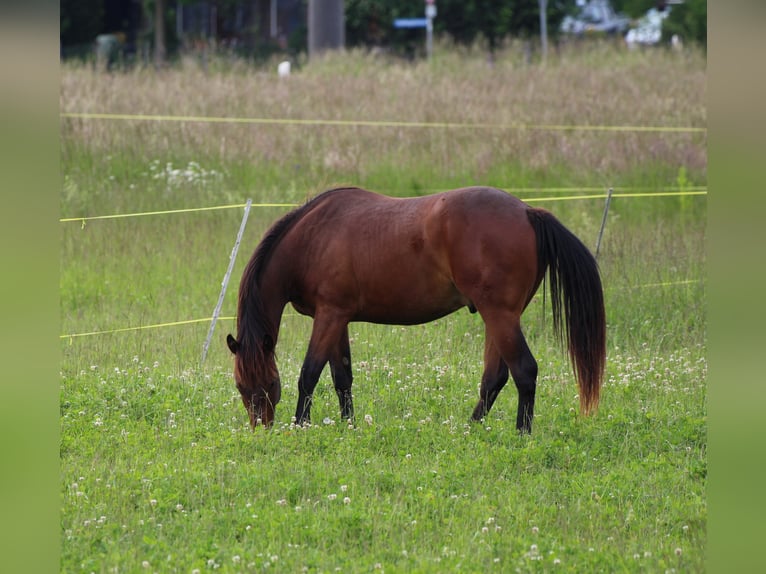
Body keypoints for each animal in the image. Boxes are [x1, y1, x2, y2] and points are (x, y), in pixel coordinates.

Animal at [226, 187, 608, 434]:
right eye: (241, 387)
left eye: (267, 384)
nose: (261, 428)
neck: (312, 239)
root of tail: (529, 212)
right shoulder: (338, 317)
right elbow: (342, 376)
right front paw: (348, 426)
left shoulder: (329, 315)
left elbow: (309, 374)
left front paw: (301, 426)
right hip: (500, 317)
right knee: (495, 377)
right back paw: (470, 429)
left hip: (499, 316)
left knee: (524, 371)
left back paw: (521, 435)